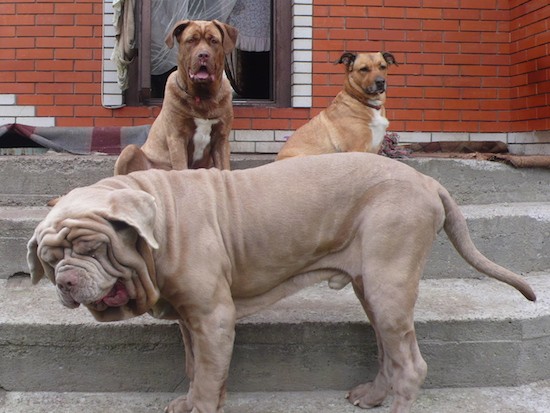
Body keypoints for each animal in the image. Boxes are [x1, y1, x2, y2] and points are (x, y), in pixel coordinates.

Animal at [27, 153, 540, 410]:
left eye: (91, 248)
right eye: (50, 261)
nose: (66, 282)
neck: (161, 222)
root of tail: (428, 180)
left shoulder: (213, 315)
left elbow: (207, 375)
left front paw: (201, 405)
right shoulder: (193, 321)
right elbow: (200, 369)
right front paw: (194, 399)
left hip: (388, 281)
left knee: (411, 364)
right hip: (372, 287)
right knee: (389, 352)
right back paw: (371, 396)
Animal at [115, 19, 238, 174]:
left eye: (213, 41)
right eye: (191, 40)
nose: (203, 55)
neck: (202, 96)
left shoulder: (221, 139)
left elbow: (225, 168)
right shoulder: (177, 137)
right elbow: (181, 167)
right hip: (129, 150)